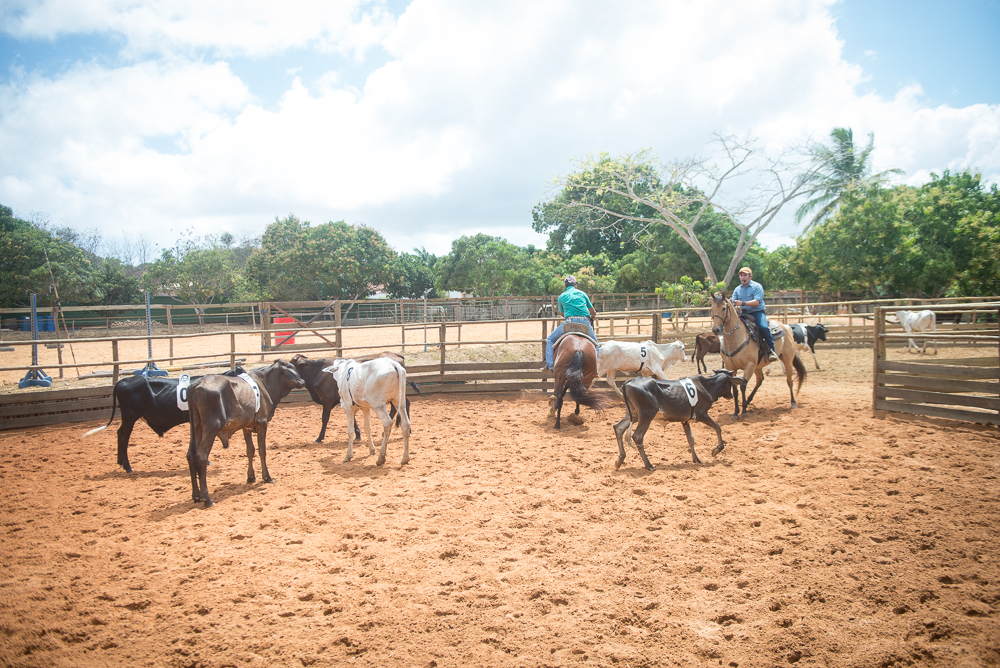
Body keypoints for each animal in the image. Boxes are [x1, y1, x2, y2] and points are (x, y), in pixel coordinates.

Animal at [83, 368, 244, 472]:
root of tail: (124, 380)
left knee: (119, 433)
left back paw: (120, 462)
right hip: (129, 416)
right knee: (123, 436)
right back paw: (128, 467)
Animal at [187, 360, 304, 506]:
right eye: (288, 369)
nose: (302, 381)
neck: (265, 383)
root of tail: (198, 382)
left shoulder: (246, 427)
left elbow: (250, 450)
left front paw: (251, 476)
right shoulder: (262, 423)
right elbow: (262, 450)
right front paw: (267, 477)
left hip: (196, 426)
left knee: (190, 455)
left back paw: (196, 495)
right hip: (211, 427)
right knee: (201, 456)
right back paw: (207, 499)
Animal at [608, 370, 752, 470]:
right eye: (731, 383)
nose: (731, 395)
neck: (706, 386)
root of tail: (629, 381)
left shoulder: (685, 421)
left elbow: (691, 439)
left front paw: (696, 458)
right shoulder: (702, 415)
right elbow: (717, 427)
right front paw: (716, 450)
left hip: (633, 415)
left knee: (618, 428)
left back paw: (620, 460)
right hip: (646, 415)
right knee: (637, 436)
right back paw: (648, 464)